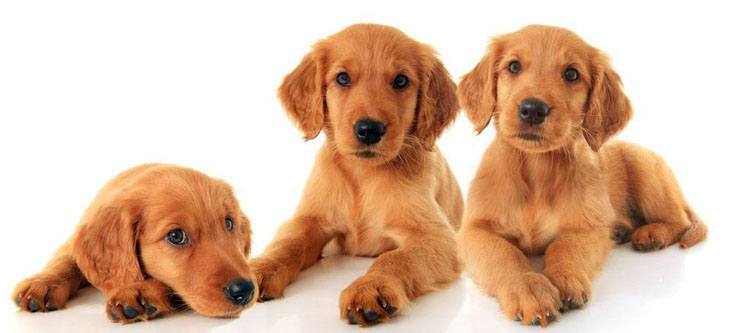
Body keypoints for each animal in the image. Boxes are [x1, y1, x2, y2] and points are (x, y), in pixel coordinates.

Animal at [11, 163, 258, 322]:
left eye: (229, 223)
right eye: (176, 236)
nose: (245, 290)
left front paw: (140, 292)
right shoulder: (75, 238)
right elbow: (65, 260)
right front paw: (43, 283)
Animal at [252, 24, 460, 326]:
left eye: (401, 81)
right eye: (342, 78)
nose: (369, 129)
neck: (363, 175)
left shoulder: (437, 236)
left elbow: (396, 258)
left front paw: (371, 287)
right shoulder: (309, 220)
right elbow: (287, 243)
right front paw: (259, 268)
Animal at [456, 24, 704, 326]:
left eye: (571, 74)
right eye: (513, 66)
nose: (533, 109)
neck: (538, 170)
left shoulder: (587, 227)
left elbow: (565, 247)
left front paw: (564, 279)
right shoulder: (473, 231)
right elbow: (503, 254)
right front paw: (528, 288)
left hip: (645, 167)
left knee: (679, 220)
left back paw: (651, 233)